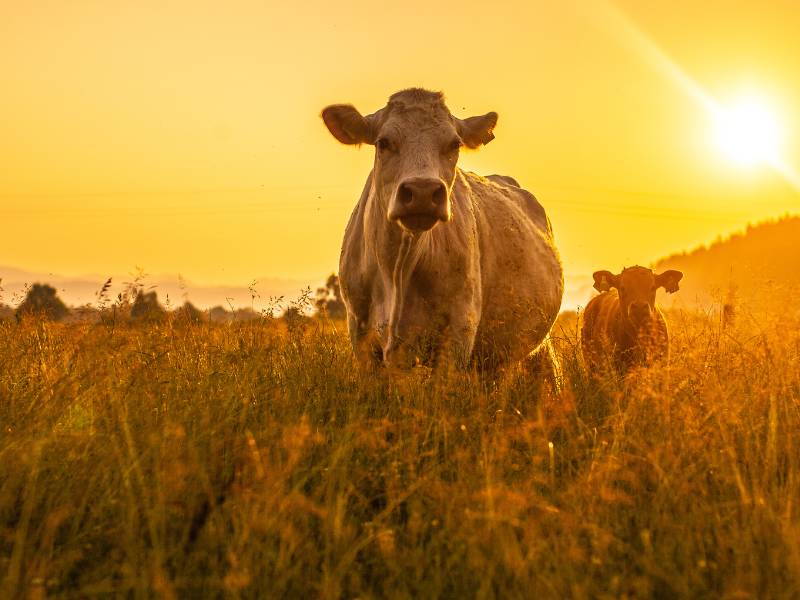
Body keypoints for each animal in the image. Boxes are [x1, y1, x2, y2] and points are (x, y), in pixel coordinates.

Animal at [320, 88, 564, 376]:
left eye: (454, 144)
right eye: (383, 142)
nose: (422, 191)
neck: (397, 271)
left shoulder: (459, 332)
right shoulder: (361, 336)